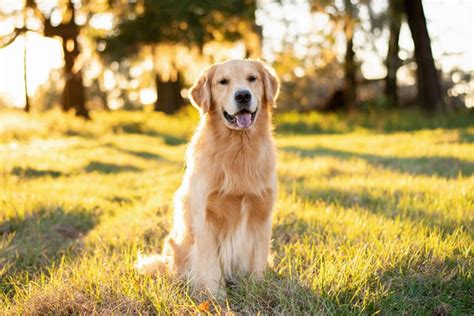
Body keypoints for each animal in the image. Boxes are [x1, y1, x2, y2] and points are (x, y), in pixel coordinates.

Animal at [135, 58, 280, 296]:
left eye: (252, 78)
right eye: (223, 81)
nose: (243, 95)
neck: (238, 147)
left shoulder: (262, 213)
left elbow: (258, 260)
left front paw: (257, 290)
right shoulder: (205, 218)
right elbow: (210, 265)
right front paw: (215, 297)